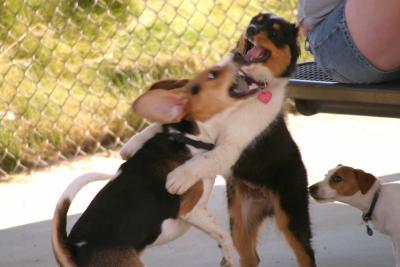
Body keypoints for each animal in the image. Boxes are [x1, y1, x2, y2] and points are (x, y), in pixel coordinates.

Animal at [50, 55, 260, 266]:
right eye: (213, 74)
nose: (238, 56)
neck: (185, 137)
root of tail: (76, 250)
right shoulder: (190, 210)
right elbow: (223, 234)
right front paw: (228, 256)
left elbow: (218, 233)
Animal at [123, 14, 318, 267]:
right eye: (255, 21)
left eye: (274, 33)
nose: (251, 29)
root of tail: (265, 202)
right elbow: (161, 124)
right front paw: (132, 144)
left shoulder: (230, 147)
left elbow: (204, 159)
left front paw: (178, 179)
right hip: (240, 220)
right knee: (250, 256)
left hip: (291, 214)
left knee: (305, 254)